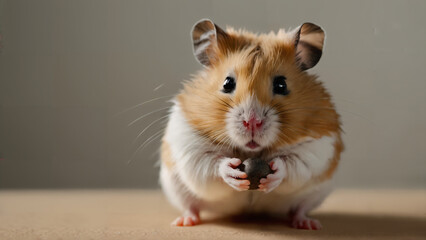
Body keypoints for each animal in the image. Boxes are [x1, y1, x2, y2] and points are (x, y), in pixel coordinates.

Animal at [159, 17, 342, 230]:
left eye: (281, 85)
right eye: (227, 83)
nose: (252, 122)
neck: (251, 151)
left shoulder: (320, 143)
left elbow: (294, 163)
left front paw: (275, 172)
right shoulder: (188, 140)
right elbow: (209, 163)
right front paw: (232, 172)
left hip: (315, 194)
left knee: (299, 208)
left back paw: (307, 223)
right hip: (176, 187)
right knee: (191, 205)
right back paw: (184, 222)